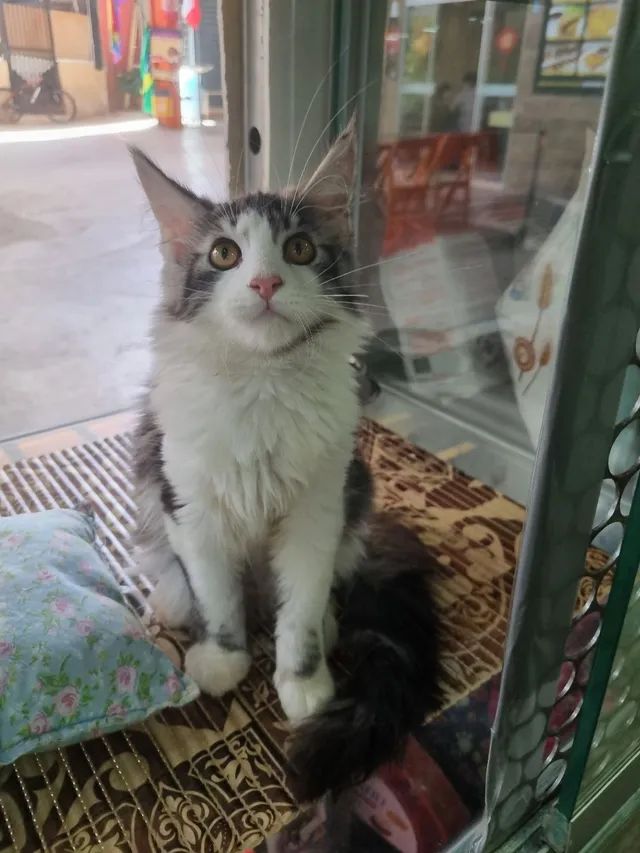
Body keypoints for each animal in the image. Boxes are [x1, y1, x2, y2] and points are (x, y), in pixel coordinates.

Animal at [130, 121, 440, 800]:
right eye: (224, 255)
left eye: (299, 250)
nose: (266, 284)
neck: (261, 382)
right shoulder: (191, 508)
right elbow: (217, 595)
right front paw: (224, 659)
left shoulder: (317, 510)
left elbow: (297, 609)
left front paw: (304, 684)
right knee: (180, 578)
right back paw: (170, 601)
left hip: (357, 491)